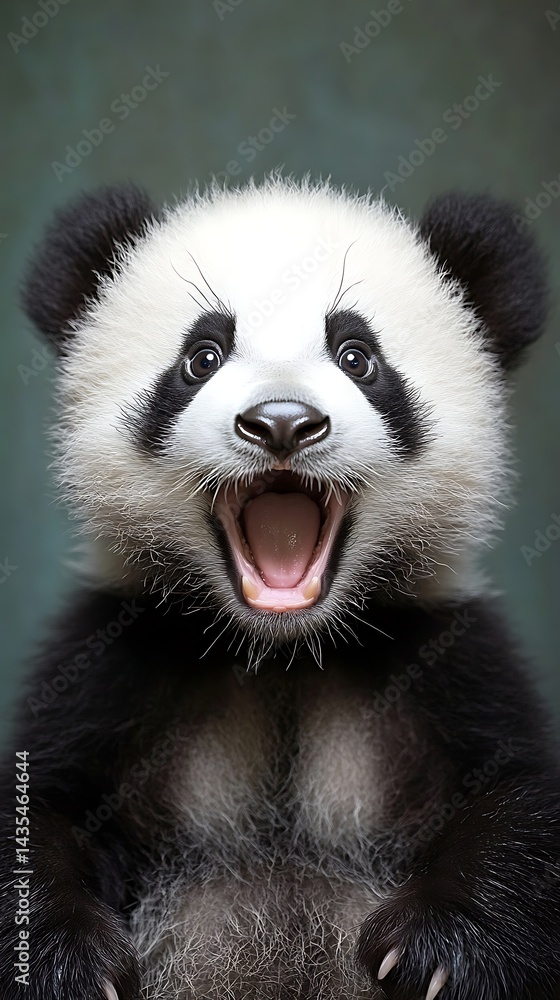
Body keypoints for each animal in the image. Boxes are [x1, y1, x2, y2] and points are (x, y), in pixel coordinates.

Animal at [1, 176, 560, 1000]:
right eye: (202, 356)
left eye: (357, 356)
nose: (283, 422)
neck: (281, 653)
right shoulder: (112, 662)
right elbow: (42, 803)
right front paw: (62, 962)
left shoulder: (450, 660)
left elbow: (521, 797)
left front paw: (442, 946)